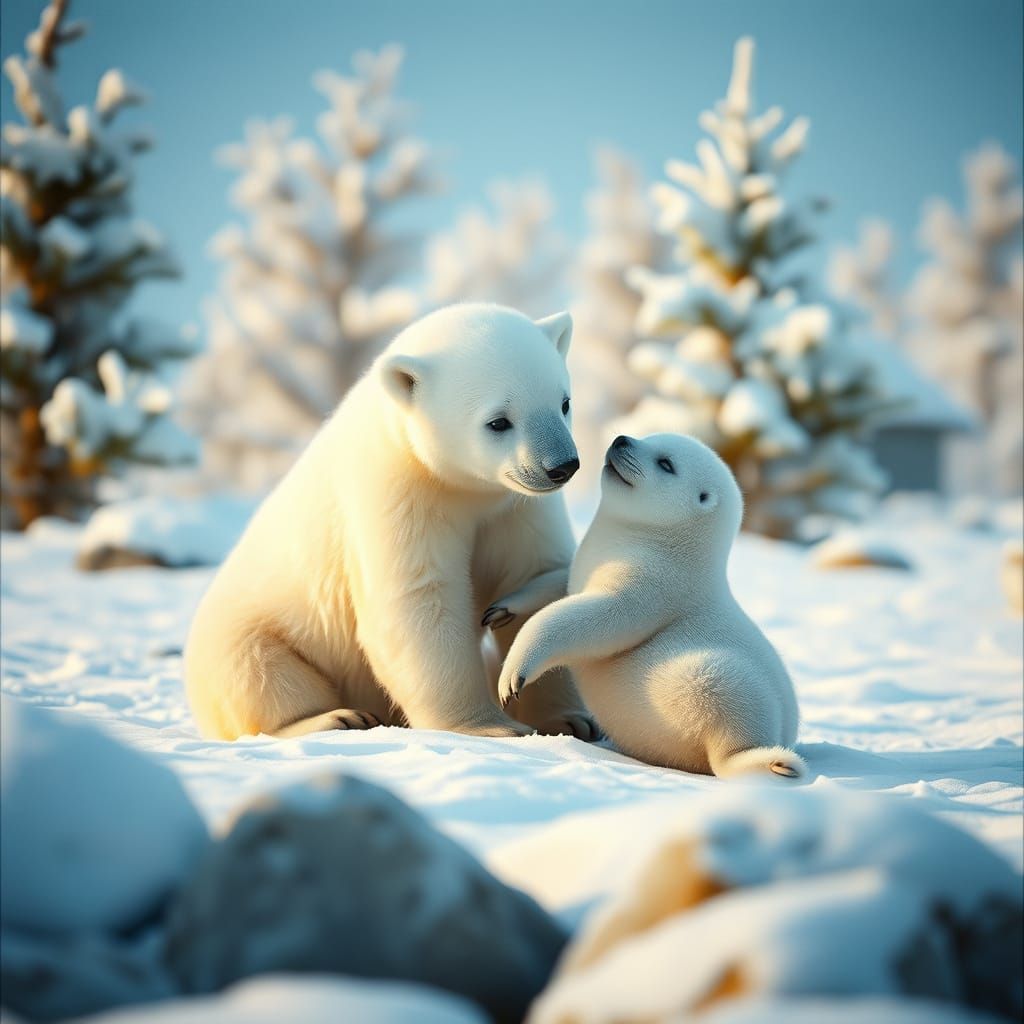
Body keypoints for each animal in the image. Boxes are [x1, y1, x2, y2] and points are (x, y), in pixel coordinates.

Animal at [185, 304, 598, 741]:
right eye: (498, 421)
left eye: (564, 402)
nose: (562, 467)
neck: (463, 489)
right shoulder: (398, 490)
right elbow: (417, 601)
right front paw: (488, 726)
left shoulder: (515, 506)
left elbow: (535, 576)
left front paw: (567, 719)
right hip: (249, 630)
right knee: (258, 674)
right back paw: (335, 718)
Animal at [492, 433, 804, 778]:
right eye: (649, 437)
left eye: (665, 463)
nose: (621, 439)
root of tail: (786, 732)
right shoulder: (581, 569)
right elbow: (556, 584)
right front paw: (504, 607)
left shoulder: (650, 585)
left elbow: (588, 620)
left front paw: (513, 673)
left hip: (721, 677)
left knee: (730, 741)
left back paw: (773, 763)